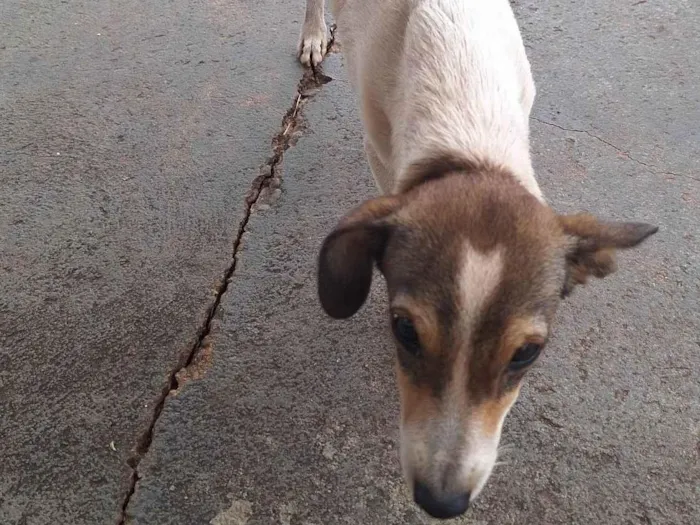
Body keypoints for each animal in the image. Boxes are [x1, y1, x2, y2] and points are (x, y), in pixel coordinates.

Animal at [298, 0, 660, 516]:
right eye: (404, 331)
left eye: (528, 353)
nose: (441, 502)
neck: (471, 144)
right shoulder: (380, 148)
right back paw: (313, 35)